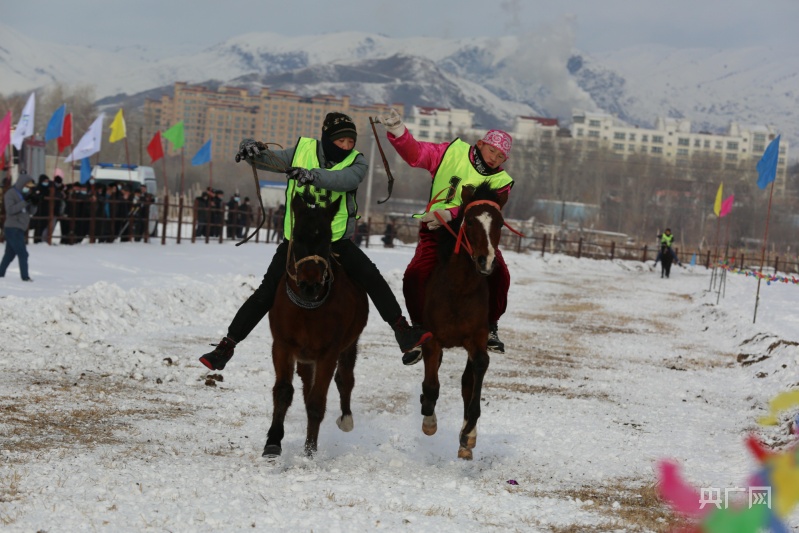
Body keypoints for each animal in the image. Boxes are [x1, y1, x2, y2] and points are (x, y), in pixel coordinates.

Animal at [266, 193, 372, 456]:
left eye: (326, 239)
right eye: (298, 237)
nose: (310, 284)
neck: (307, 310)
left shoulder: (328, 352)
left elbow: (317, 402)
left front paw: (309, 451)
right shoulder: (282, 346)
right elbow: (283, 391)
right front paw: (273, 442)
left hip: (349, 345)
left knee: (345, 379)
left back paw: (346, 418)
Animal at [416, 182, 510, 458]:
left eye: (500, 223)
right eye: (468, 221)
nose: (486, 261)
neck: (459, 288)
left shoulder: (476, 339)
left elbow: (477, 371)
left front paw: (468, 432)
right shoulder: (433, 340)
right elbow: (431, 384)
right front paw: (429, 421)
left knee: (467, 382)